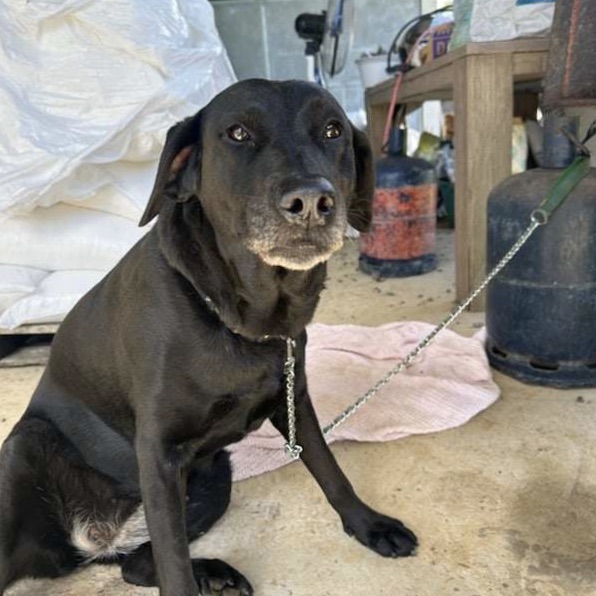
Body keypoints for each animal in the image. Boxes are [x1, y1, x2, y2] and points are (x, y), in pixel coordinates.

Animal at [0, 80, 416, 596]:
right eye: (237, 133)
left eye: (333, 130)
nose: (311, 203)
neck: (248, 321)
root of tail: (94, 538)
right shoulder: (159, 456)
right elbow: (173, 562)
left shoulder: (293, 402)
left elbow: (329, 469)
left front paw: (368, 524)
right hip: (24, 451)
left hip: (217, 474)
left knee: (135, 564)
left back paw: (213, 572)